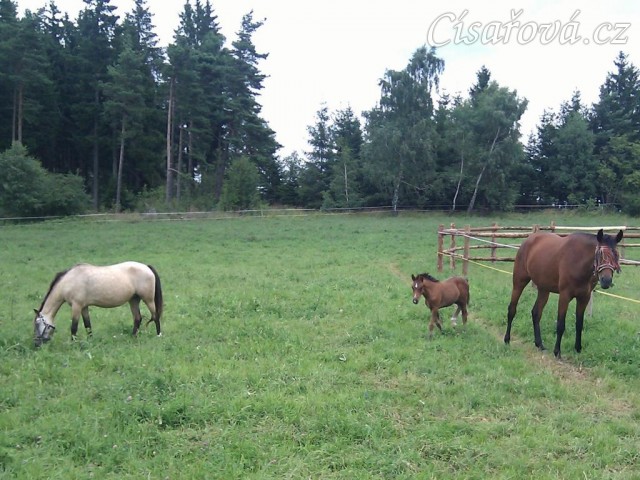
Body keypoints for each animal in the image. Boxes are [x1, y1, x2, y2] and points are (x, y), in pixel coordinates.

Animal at [33, 261, 163, 347]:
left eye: (37, 323)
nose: (36, 344)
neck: (69, 281)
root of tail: (146, 267)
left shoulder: (76, 306)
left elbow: (74, 327)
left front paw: (73, 344)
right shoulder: (84, 307)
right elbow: (88, 325)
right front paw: (90, 341)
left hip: (148, 300)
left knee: (155, 316)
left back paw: (158, 335)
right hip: (133, 300)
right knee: (137, 318)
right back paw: (133, 337)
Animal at [504, 228, 623, 359]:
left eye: (616, 254)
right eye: (600, 254)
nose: (606, 281)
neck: (579, 261)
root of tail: (528, 240)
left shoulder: (584, 297)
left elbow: (579, 324)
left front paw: (578, 348)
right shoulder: (565, 296)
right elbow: (561, 324)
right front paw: (557, 351)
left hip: (544, 290)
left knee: (536, 313)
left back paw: (539, 344)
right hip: (519, 282)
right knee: (512, 309)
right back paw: (507, 339)